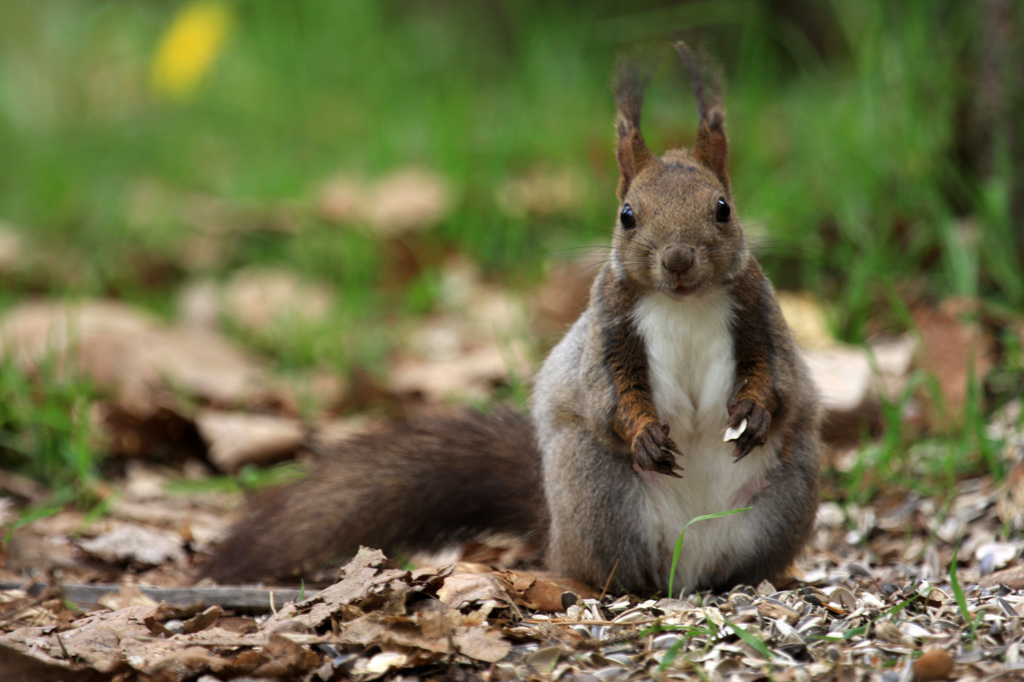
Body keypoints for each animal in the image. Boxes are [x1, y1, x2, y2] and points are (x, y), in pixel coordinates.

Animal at [203, 43, 819, 593]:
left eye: (723, 209)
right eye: (627, 215)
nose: (679, 260)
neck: (684, 303)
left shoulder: (761, 317)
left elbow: (778, 380)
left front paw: (756, 413)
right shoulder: (609, 335)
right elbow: (609, 397)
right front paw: (643, 433)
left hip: (785, 496)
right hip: (599, 494)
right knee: (611, 566)